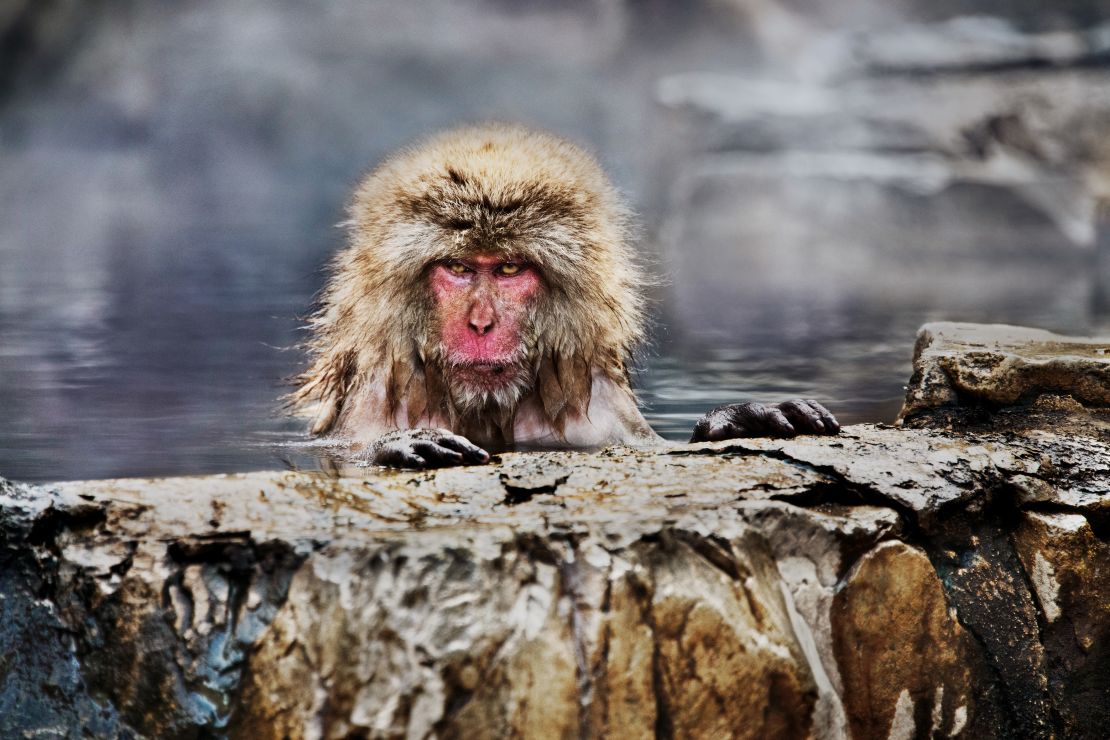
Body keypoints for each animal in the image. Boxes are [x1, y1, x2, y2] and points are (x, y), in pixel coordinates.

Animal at [290, 123, 834, 468]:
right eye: (460, 268)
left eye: (509, 268)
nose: (481, 324)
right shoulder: (375, 395)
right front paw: (401, 444)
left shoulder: (596, 412)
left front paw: (739, 419)